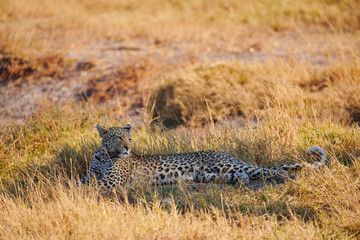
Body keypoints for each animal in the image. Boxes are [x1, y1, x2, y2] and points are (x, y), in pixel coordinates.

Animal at [80, 124, 328, 190]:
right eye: (118, 138)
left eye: (129, 138)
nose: (128, 149)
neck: (105, 156)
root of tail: (224, 152)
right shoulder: (91, 175)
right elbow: (80, 181)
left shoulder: (110, 182)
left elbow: (85, 186)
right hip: (215, 174)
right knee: (245, 176)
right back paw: (241, 183)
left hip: (231, 165)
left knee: (272, 170)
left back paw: (288, 178)